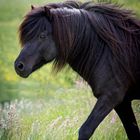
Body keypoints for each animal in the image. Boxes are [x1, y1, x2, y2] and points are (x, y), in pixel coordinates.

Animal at [14, 0, 140, 139]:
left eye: (42, 35)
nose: (18, 66)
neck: (113, 54)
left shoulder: (111, 97)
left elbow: (85, 130)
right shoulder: (122, 103)